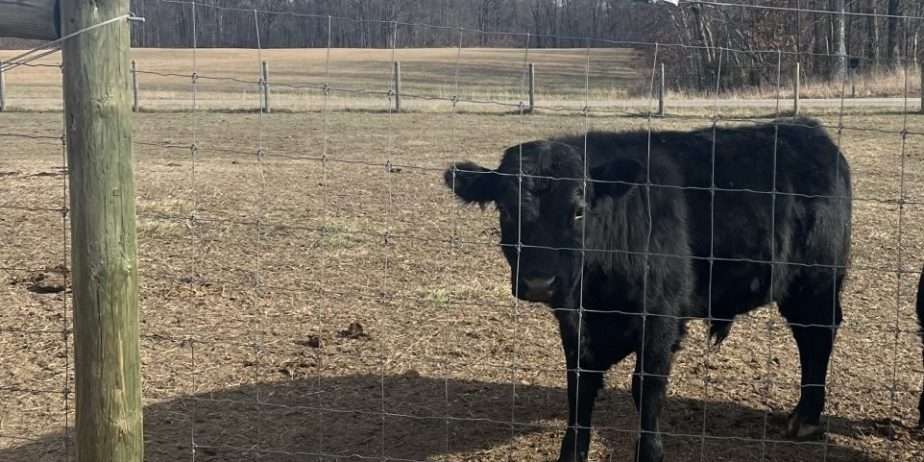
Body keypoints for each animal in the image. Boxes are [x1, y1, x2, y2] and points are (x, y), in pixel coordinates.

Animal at [443, 117, 852, 462]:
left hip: (815, 284)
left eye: (579, 210)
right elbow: (579, 384)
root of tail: (807, 129)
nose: (539, 283)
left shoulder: (660, 317)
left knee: (816, 339)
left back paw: (806, 417)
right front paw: (572, 453)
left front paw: (650, 452)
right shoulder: (575, 324)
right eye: (506, 210)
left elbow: (647, 387)